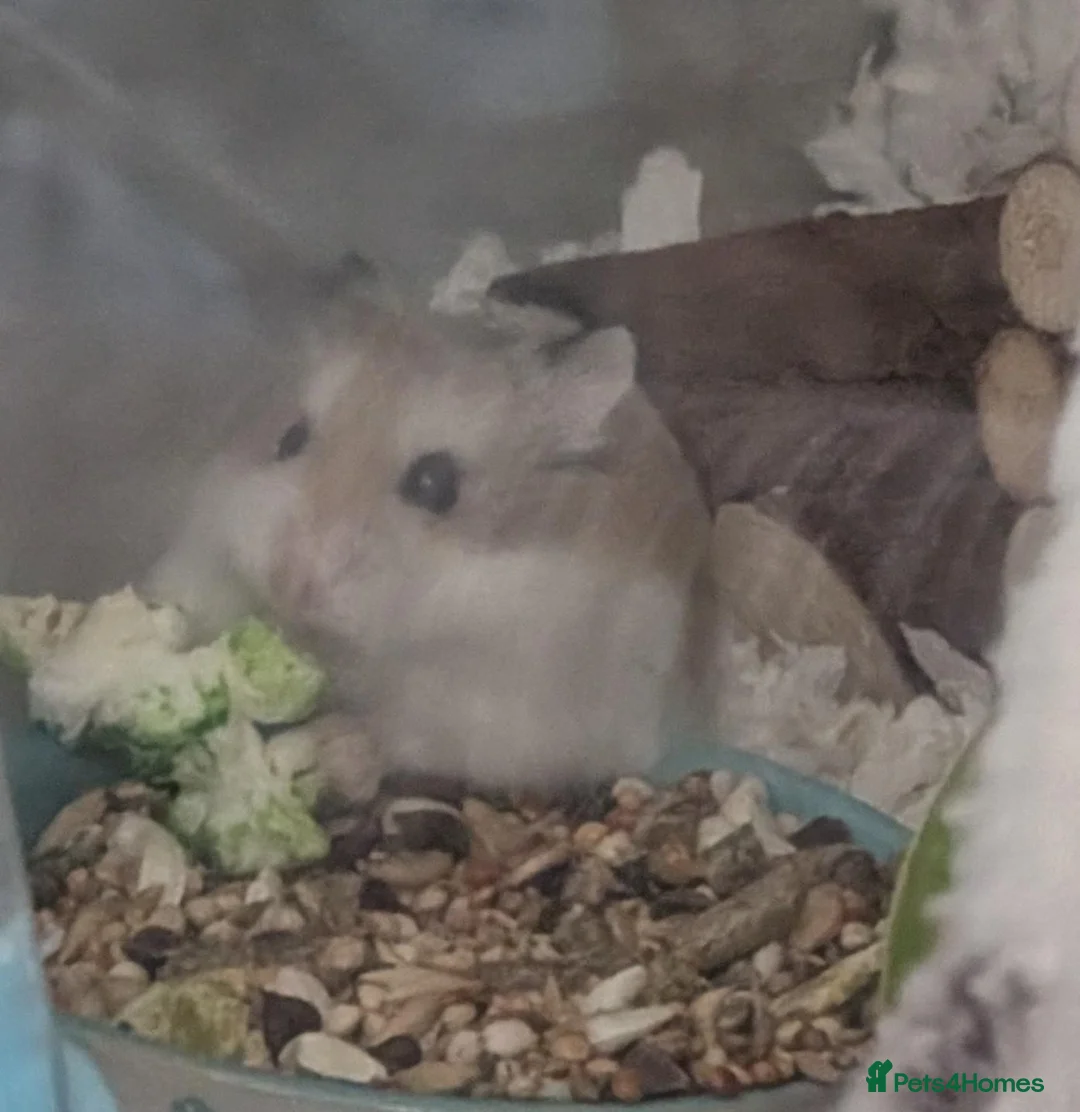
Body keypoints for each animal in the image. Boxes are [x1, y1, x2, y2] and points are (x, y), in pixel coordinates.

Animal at [144, 258, 713, 798]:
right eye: (289, 439)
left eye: (435, 484)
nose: (290, 584)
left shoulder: (492, 715)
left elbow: (396, 733)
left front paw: (327, 749)